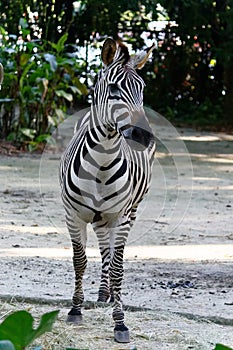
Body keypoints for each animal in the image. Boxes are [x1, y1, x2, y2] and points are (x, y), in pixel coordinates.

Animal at [59, 37, 156, 342]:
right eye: (113, 89)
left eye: (142, 89)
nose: (143, 136)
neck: (101, 163)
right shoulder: (72, 215)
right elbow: (79, 261)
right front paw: (75, 309)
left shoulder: (120, 216)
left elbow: (117, 268)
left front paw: (120, 322)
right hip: (98, 217)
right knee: (102, 247)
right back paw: (103, 294)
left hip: (129, 210)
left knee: (110, 254)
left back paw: (111, 294)